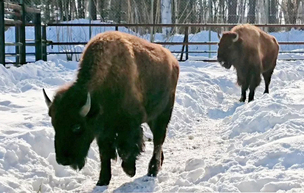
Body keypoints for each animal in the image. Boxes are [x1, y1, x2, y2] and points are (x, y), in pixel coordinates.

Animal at [43, 31, 180, 185]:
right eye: (54, 124)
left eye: (77, 127)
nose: (63, 160)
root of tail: (174, 61)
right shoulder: (102, 131)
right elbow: (104, 153)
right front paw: (102, 180)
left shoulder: (129, 124)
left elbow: (126, 148)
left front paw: (129, 171)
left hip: (163, 115)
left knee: (158, 140)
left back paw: (153, 170)